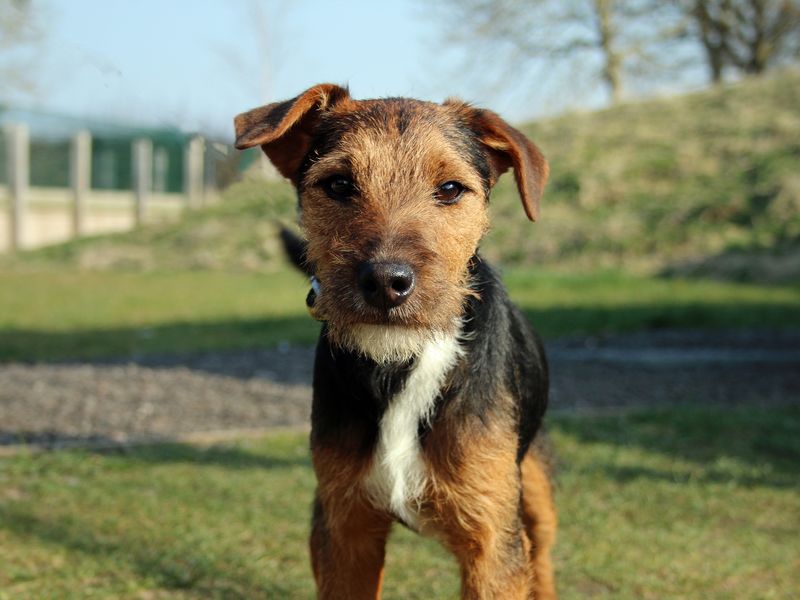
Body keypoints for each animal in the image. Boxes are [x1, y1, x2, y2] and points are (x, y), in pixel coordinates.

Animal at [233, 85, 556, 600]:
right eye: (339, 184)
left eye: (450, 189)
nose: (386, 282)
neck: (403, 364)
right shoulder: (345, 529)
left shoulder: (491, 541)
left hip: (535, 493)